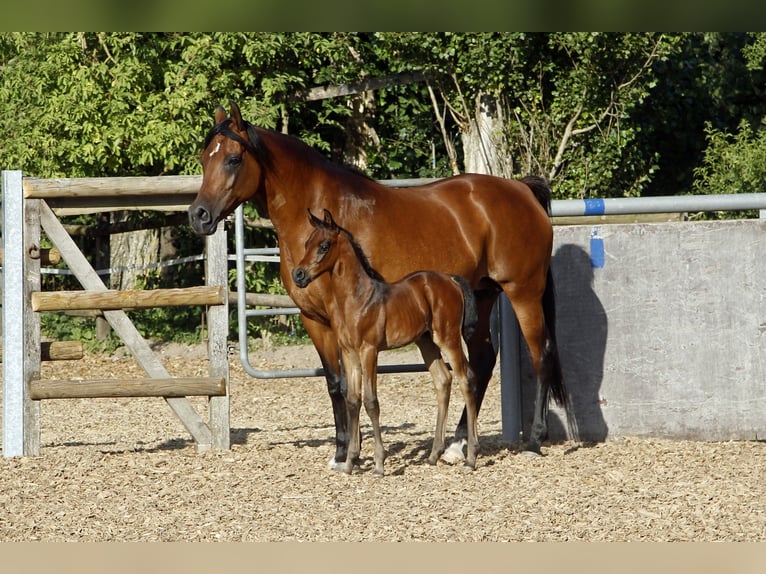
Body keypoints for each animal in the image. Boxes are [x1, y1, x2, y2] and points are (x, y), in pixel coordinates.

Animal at [190, 101, 576, 470]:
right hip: (480, 297)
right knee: (481, 361)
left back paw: (533, 441)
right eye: (204, 158)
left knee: (540, 354)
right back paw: (456, 446)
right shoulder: (315, 320)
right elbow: (337, 384)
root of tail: (521, 189)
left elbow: (354, 387)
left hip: (523, 293)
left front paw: (353, 452)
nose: (198, 216)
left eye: (233, 158)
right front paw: (344, 453)